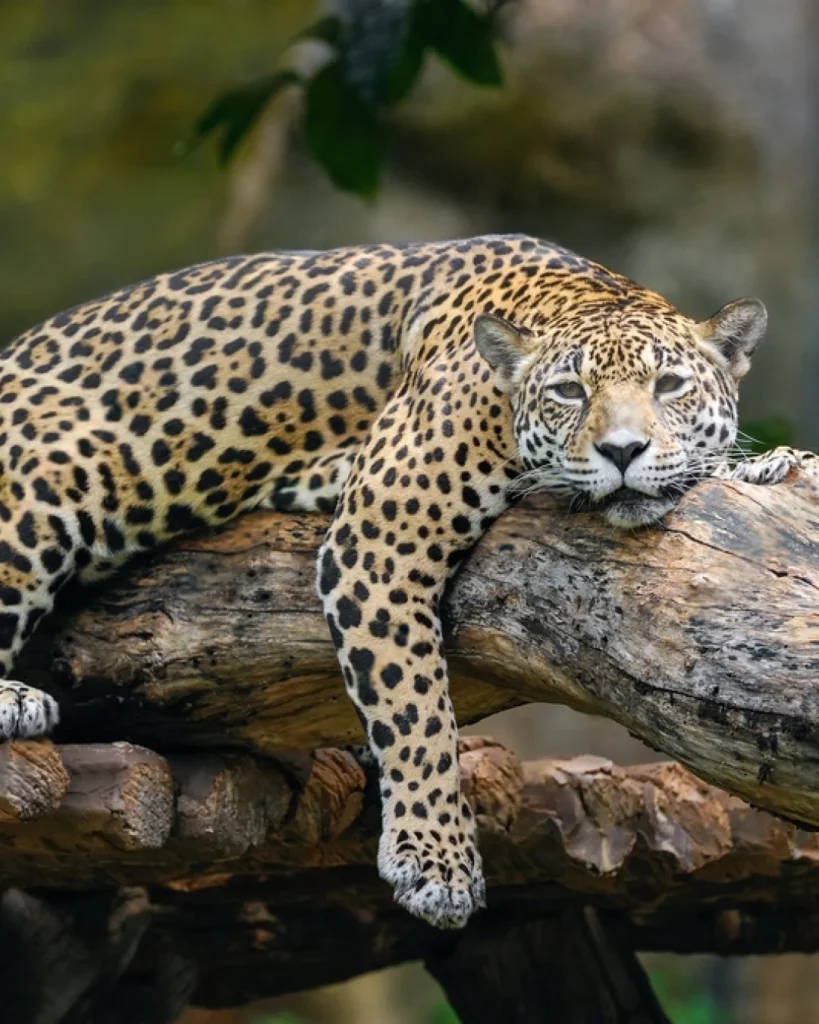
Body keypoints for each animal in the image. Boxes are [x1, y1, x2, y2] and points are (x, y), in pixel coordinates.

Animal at [0, 233, 815, 930]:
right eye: (567, 392)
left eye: (669, 384)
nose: (623, 450)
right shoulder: (378, 537)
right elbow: (414, 708)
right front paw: (437, 862)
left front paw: (772, 465)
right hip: (52, 478)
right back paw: (17, 702)